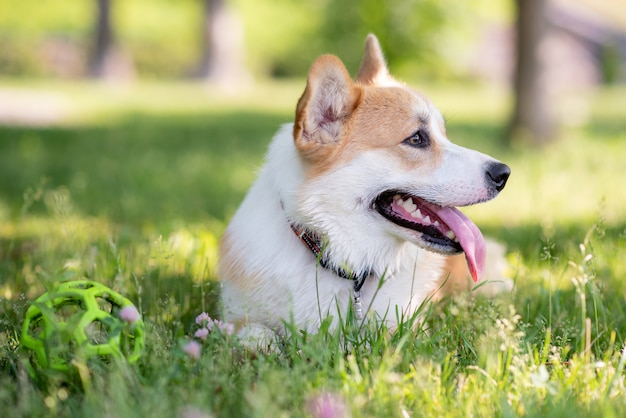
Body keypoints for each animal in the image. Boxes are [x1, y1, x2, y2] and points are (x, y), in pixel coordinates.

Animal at [218, 34, 508, 338]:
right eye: (416, 139)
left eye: (444, 135)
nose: (504, 174)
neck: (346, 264)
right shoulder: (234, 315)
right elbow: (257, 334)